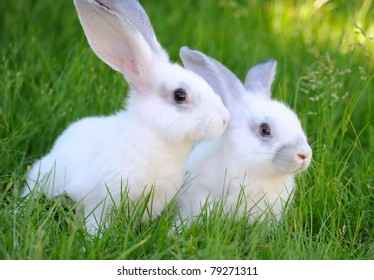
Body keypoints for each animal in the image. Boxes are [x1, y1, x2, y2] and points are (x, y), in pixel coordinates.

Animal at [23, 0, 229, 232]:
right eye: (179, 95)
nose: (225, 120)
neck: (153, 135)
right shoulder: (98, 202)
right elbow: (94, 223)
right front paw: (94, 238)